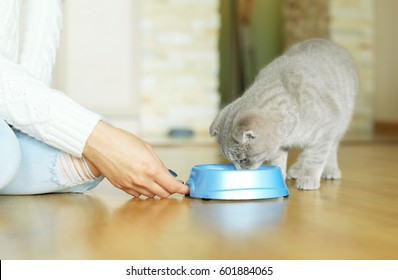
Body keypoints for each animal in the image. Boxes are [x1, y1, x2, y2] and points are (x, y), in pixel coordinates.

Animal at [210, 37, 360, 190]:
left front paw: (308, 177)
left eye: (244, 159)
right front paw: (280, 176)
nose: (240, 172)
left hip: (341, 123)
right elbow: (278, 160)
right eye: (232, 161)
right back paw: (297, 168)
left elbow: (316, 157)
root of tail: (327, 41)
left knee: (331, 147)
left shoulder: (326, 129)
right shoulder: (280, 144)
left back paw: (330, 168)